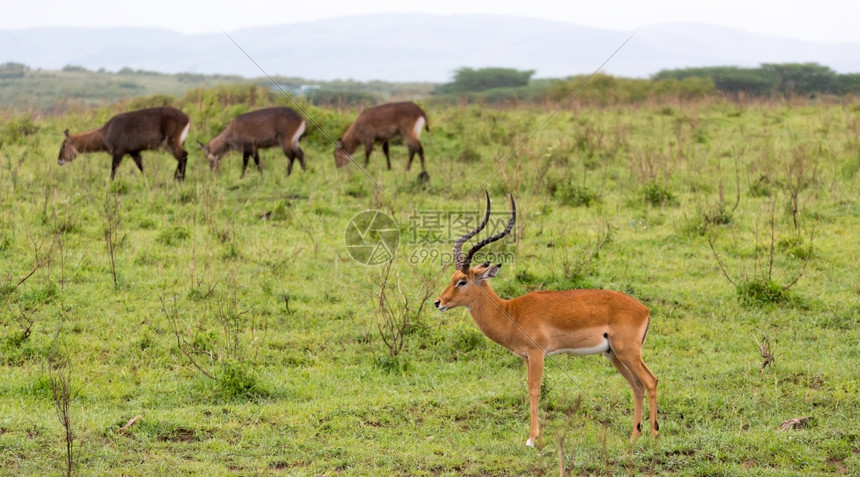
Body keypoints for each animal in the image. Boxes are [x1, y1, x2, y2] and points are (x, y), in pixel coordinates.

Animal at [58, 106, 191, 180]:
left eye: (63, 145)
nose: (59, 161)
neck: (105, 132)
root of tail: (187, 118)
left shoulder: (119, 152)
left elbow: (113, 170)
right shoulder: (134, 152)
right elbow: (141, 168)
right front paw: (147, 180)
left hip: (172, 142)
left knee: (184, 156)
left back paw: (179, 179)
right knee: (182, 158)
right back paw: (176, 178)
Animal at [436, 193, 660, 446]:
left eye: (462, 281)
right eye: (452, 277)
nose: (438, 302)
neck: (510, 312)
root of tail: (644, 310)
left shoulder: (537, 354)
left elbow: (534, 390)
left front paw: (532, 439)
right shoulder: (526, 357)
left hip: (628, 352)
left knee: (650, 381)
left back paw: (653, 435)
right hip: (614, 354)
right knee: (637, 385)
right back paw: (634, 435)